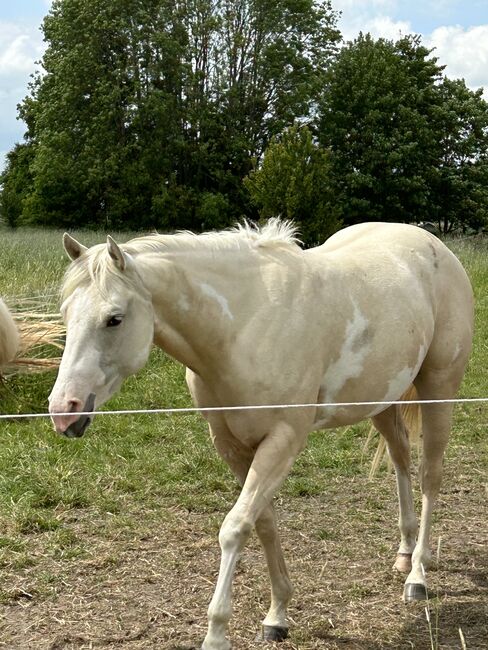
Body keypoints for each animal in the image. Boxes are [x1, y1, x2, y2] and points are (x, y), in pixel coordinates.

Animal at [49, 219, 472, 648]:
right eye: (66, 313)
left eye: (114, 318)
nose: (63, 410)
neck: (245, 327)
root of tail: (431, 243)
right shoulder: (231, 445)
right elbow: (263, 522)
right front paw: (277, 614)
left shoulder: (283, 440)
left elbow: (235, 528)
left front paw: (217, 633)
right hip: (381, 400)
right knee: (401, 458)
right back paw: (404, 553)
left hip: (438, 389)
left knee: (430, 475)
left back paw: (417, 575)